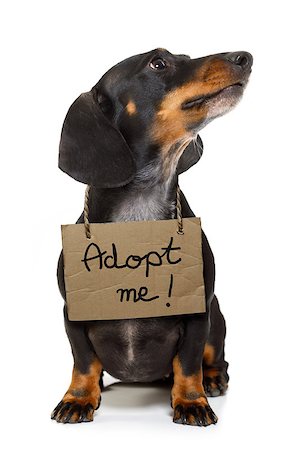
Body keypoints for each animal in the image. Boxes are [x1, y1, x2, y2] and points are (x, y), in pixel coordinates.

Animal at [52, 47, 253, 428]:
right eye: (158, 63)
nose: (245, 58)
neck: (138, 214)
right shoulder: (74, 313)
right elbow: (83, 361)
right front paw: (78, 397)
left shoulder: (198, 313)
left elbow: (188, 363)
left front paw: (191, 401)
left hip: (217, 316)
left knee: (215, 356)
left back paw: (213, 378)